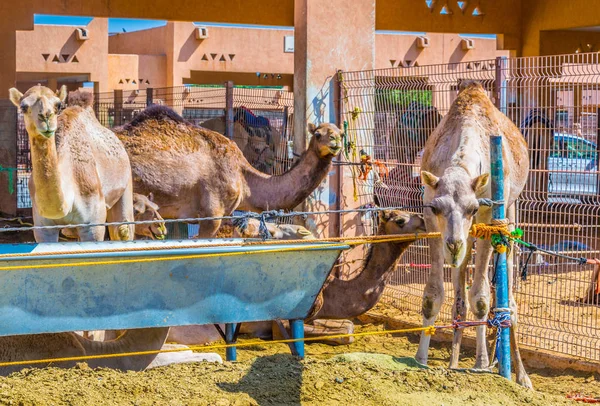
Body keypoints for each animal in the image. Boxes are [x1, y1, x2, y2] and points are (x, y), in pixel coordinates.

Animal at [9, 85, 134, 243]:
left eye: (58, 105)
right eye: (23, 107)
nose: (46, 117)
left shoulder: (93, 224)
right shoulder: (42, 227)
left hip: (126, 184)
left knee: (123, 229)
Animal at [414, 81, 532, 388]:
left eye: (473, 207)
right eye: (437, 207)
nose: (454, 245)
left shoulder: (488, 216)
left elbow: (481, 298)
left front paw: (480, 364)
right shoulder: (431, 217)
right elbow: (433, 295)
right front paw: (420, 360)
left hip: (509, 210)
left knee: (508, 295)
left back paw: (520, 375)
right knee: (459, 294)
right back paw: (455, 362)